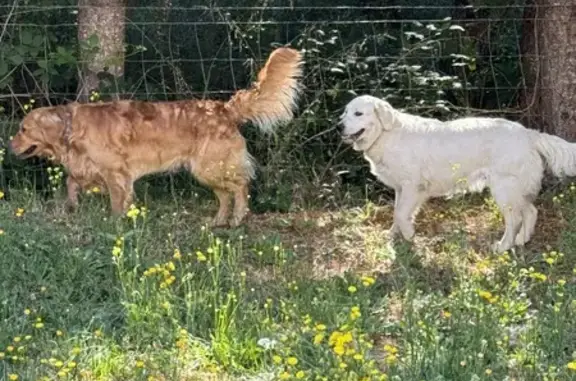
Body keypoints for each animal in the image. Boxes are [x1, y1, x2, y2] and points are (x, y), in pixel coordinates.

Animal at [11, 47, 304, 226]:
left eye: (23, 129)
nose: (9, 145)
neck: (72, 129)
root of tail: (225, 108)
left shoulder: (115, 171)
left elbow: (116, 200)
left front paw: (115, 223)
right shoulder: (88, 168)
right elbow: (71, 182)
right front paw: (70, 205)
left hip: (210, 166)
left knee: (241, 186)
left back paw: (237, 217)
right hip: (205, 170)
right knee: (225, 194)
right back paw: (218, 221)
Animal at [340, 93, 576, 251]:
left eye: (358, 113)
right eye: (345, 112)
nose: (338, 126)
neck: (386, 135)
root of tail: (529, 134)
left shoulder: (412, 187)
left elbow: (400, 214)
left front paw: (409, 235)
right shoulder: (401, 189)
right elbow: (397, 213)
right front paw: (393, 235)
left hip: (504, 189)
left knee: (515, 220)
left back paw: (503, 246)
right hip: (516, 190)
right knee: (531, 211)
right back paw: (521, 241)